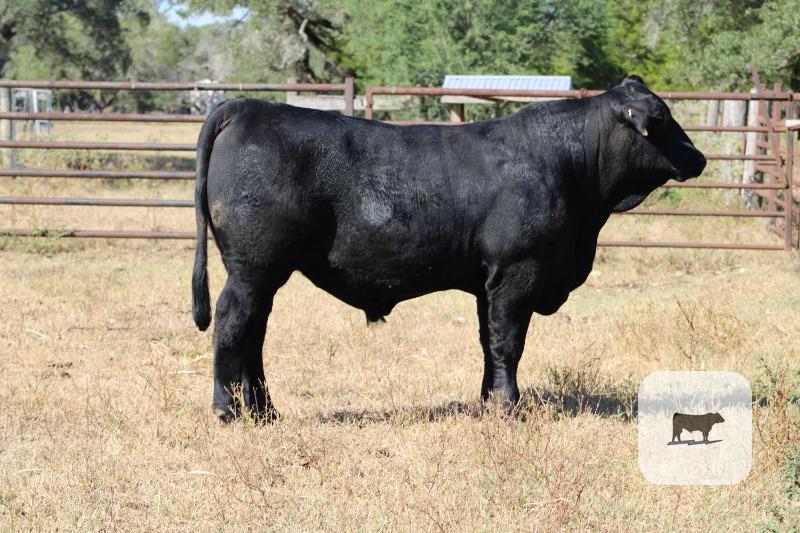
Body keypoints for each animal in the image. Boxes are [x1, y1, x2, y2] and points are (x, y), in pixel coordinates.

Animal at [191, 75, 706, 422]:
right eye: (662, 118)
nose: (699, 157)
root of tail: (246, 106)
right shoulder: (518, 270)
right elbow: (508, 341)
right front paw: (509, 406)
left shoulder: (488, 281)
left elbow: (487, 341)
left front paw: (487, 400)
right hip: (253, 268)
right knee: (231, 326)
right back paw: (227, 411)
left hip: (260, 273)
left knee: (254, 333)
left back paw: (265, 413)